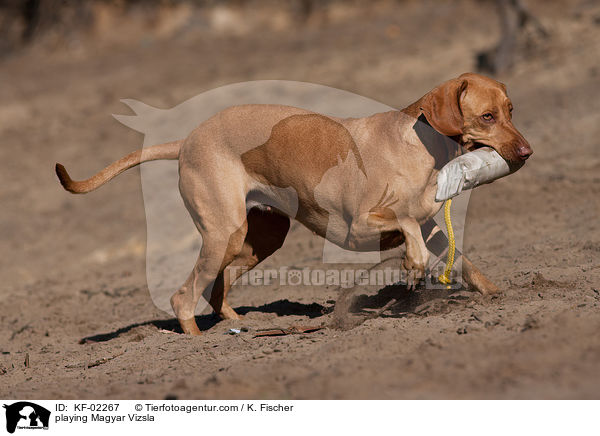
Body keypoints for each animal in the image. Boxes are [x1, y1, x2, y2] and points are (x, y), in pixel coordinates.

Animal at [57, 73, 536, 336]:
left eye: (512, 109)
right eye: (487, 116)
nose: (527, 152)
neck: (420, 143)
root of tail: (188, 140)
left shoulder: (432, 225)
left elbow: (462, 258)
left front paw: (497, 294)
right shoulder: (357, 227)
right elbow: (405, 226)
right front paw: (413, 266)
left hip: (257, 240)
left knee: (216, 288)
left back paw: (237, 323)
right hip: (224, 234)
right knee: (181, 297)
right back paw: (197, 341)